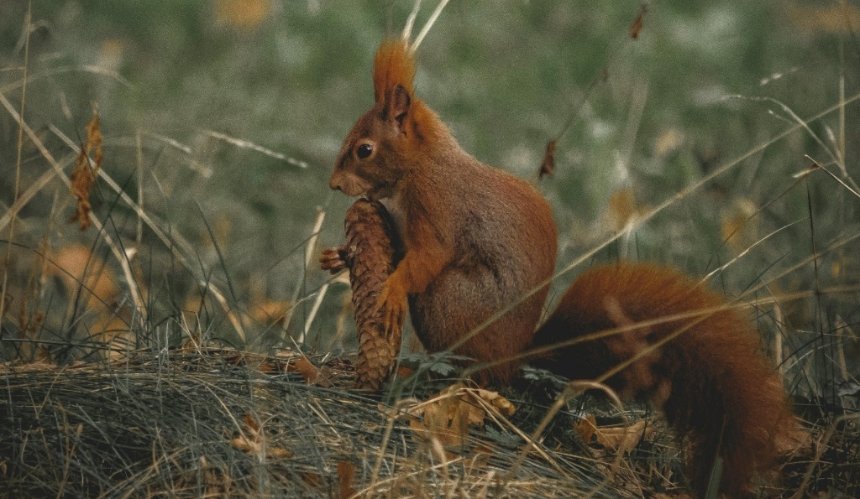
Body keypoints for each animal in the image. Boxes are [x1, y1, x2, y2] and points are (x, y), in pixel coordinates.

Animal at [326, 39, 796, 496]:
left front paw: (389, 289)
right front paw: (339, 257)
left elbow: (425, 259)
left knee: (474, 371)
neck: (421, 166)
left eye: (364, 150)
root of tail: (515, 357)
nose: (333, 185)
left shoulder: (437, 208)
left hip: (450, 301)